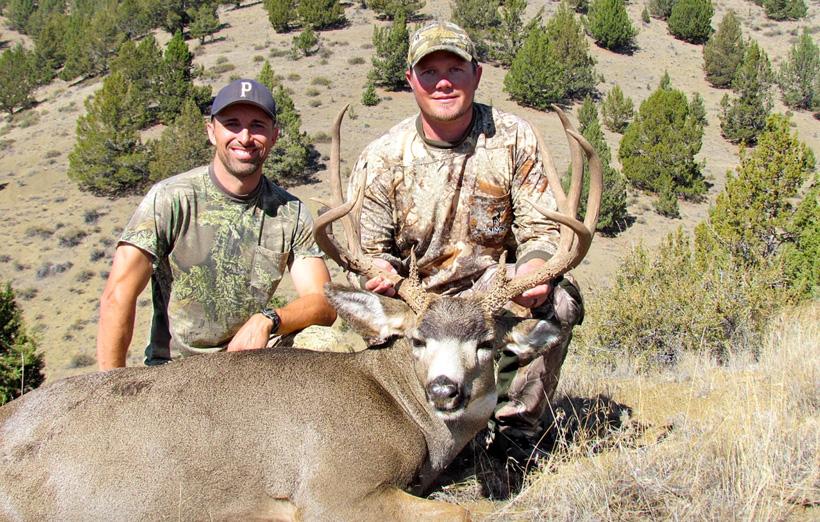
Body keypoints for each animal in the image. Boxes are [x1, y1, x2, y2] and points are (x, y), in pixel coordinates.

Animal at [0, 106, 601, 521]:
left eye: (487, 343)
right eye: (418, 339)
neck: (398, 408)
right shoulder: (335, 485)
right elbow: (465, 512)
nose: (444, 390)